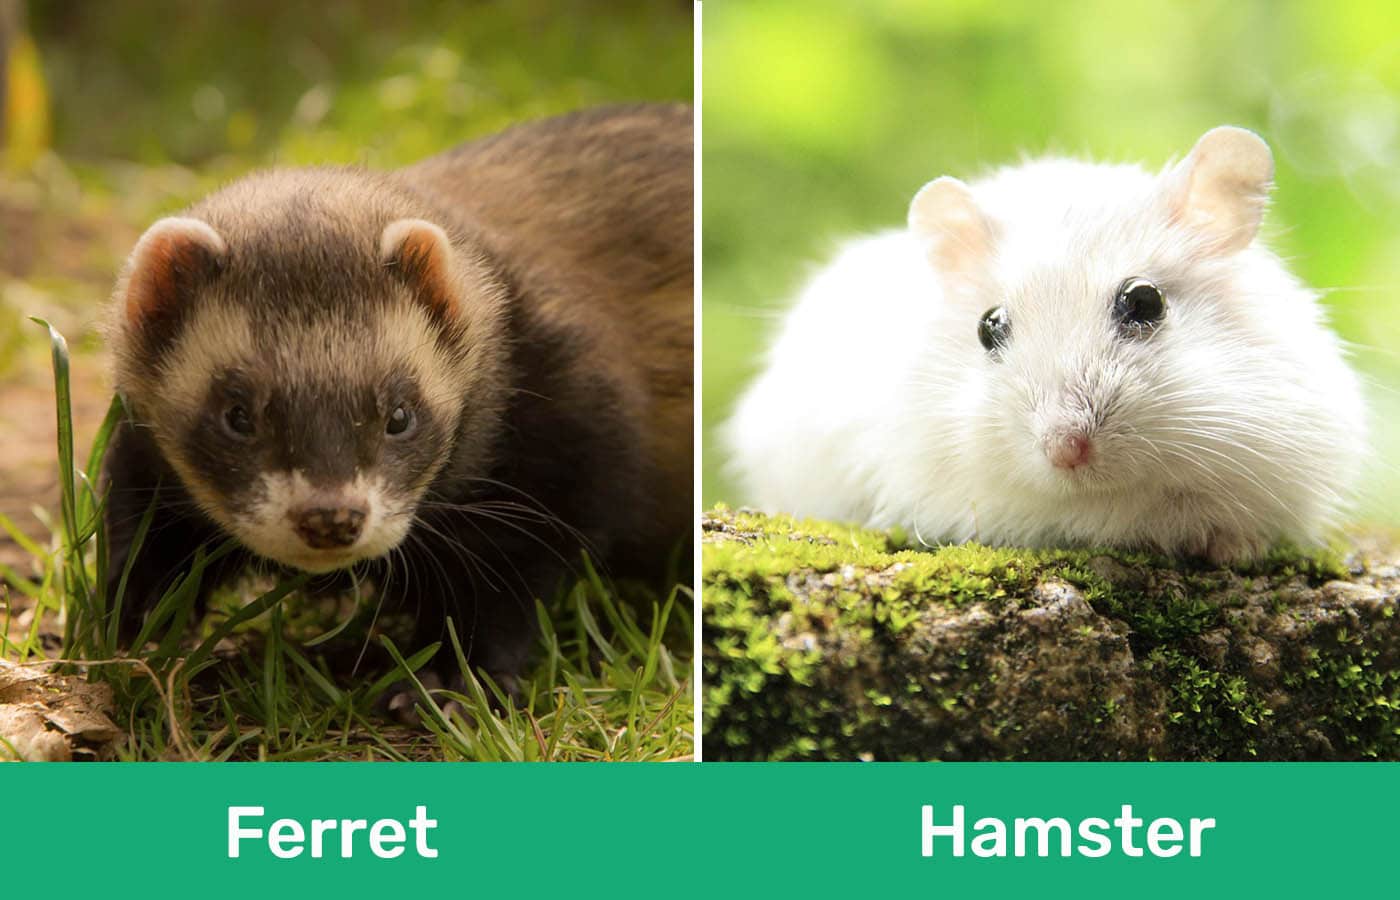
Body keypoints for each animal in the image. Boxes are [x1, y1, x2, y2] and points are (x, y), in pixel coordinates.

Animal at [103, 104, 693, 684]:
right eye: (237, 414)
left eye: (400, 414)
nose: (330, 515)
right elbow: (143, 547)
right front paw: (136, 634)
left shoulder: (564, 453)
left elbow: (504, 583)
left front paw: (452, 677)